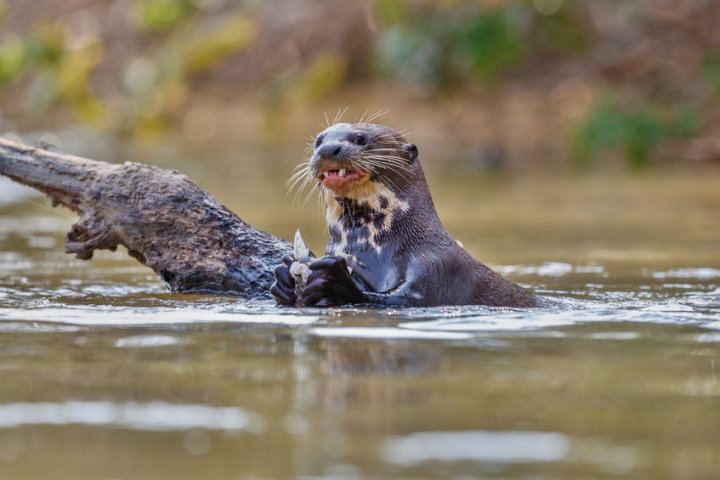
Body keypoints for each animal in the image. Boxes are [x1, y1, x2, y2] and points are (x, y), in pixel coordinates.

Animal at [272, 123, 540, 308]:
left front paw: (332, 281)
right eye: (318, 141)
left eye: (360, 138)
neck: (375, 247)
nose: (328, 149)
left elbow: (402, 299)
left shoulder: (436, 268)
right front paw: (284, 278)